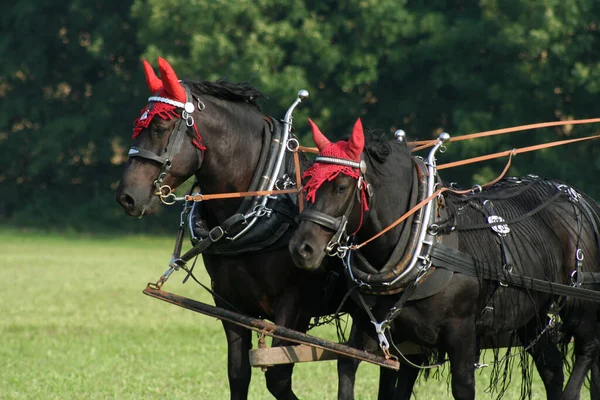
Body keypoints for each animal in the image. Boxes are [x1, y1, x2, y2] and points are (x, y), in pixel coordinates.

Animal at [115, 57, 400, 398]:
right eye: (138, 126)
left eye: (159, 128)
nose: (126, 196)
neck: (266, 202)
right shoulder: (230, 305)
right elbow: (238, 374)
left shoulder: (294, 308)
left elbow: (278, 377)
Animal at [290, 119, 600, 400]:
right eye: (307, 182)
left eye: (341, 187)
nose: (301, 249)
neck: (424, 240)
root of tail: (578, 197)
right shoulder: (377, 327)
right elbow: (348, 364)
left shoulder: (460, 332)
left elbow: (463, 386)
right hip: (532, 315)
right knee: (552, 368)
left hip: (579, 302)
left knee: (588, 348)